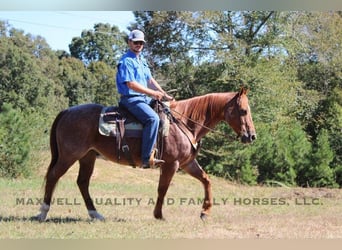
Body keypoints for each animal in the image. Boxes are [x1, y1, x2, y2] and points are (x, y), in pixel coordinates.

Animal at [36, 88, 256, 223]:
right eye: (243, 111)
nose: (252, 136)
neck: (185, 123)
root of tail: (67, 111)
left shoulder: (187, 163)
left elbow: (206, 180)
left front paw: (205, 212)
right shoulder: (171, 164)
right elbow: (162, 189)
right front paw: (159, 215)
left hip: (87, 157)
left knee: (82, 182)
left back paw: (95, 214)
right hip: (69, 156)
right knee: (54, 176)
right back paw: (43, 213)